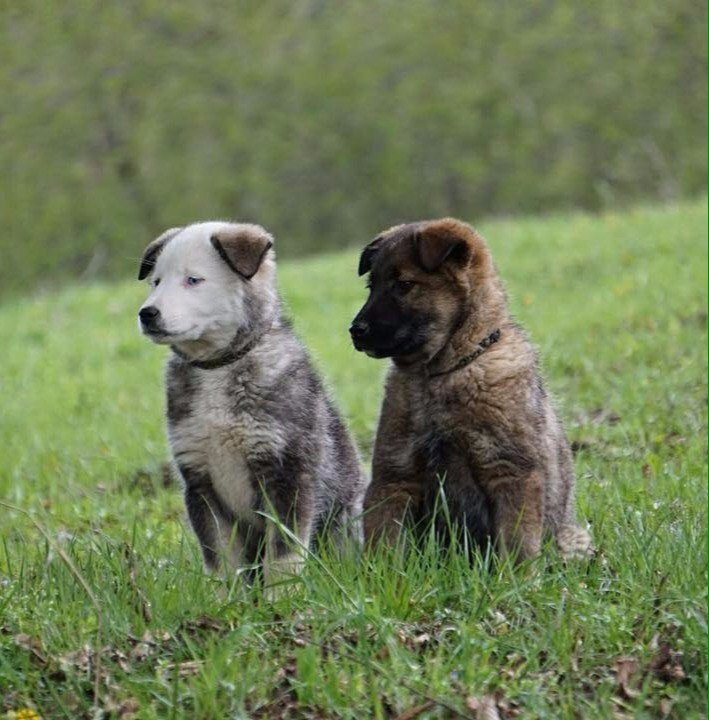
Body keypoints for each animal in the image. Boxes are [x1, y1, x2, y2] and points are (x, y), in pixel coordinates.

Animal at [137, 221, 366, 584]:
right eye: (156, 282)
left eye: (193, 280)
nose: (147, 314)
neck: (219, 366)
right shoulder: (199, 480)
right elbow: (219, 559)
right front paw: (226, 595)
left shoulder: (288, 472)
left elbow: (284, 553)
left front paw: (283, 594)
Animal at [350, 217, 592, 560]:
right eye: (371, 287)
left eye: (405, 285)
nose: (355, 331)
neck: (439, 375)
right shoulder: (394, 474)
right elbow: (384, 543)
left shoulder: (511, 471)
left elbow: (516, 547)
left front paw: (511, 576)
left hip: (570, 538)